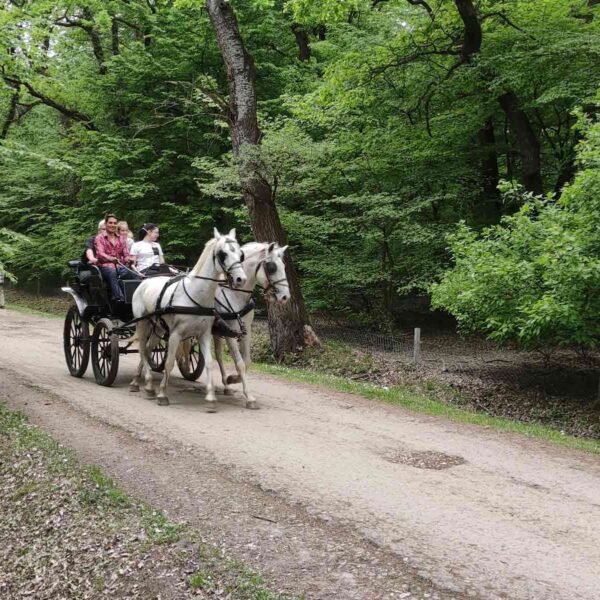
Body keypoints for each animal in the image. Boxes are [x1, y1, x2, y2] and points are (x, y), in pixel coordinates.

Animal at [129, 227, 246, 410]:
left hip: (158, 328)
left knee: (147, 350)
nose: (241, 279)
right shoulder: (175, 334)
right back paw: (144, 382)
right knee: (141, 348)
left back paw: (143, 383)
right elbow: (169, 362)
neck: (196, 294)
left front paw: (211, 397)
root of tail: (144, 282)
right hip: (142, 323)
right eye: (223, 254)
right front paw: (162, 394)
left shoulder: (204, 334)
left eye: (241, 254)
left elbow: (209, 362)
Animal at [213, 241, 290, 410]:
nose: (285, 297)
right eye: (272, 267)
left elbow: (247, 362)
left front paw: (232, 379)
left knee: (218, 354)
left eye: (284, 265)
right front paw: (249, 397)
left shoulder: (246, 330)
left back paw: (226, 386)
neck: (234, 293)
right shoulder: (230, 332)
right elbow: (240, 364)